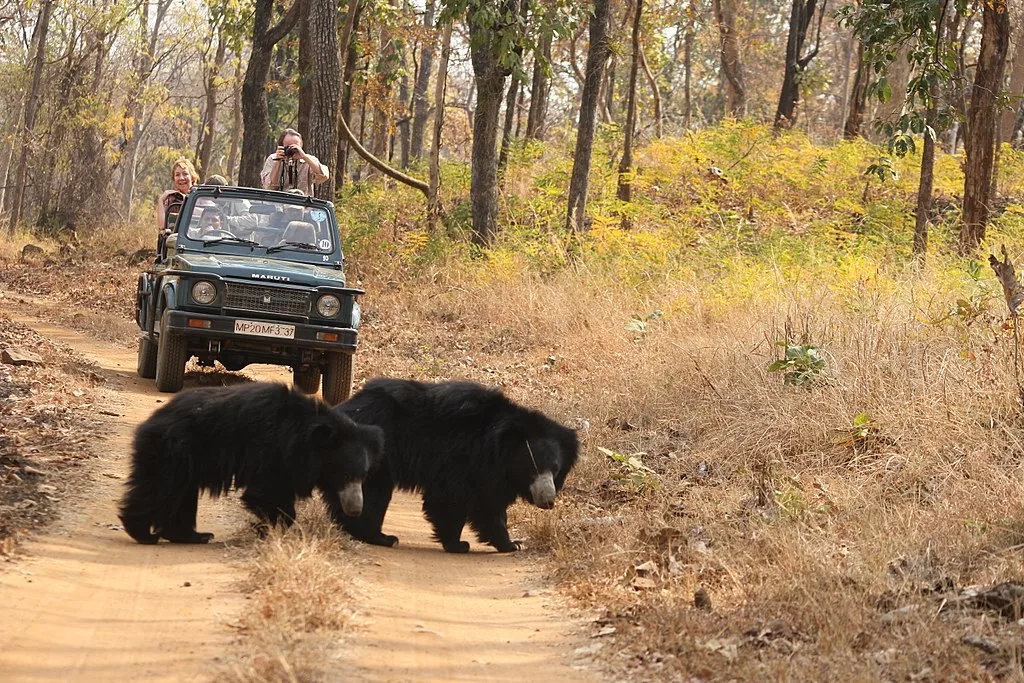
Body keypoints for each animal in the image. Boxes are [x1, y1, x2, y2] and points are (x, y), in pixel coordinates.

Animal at [117, 382, 387, 548]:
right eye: (345, 475)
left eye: (363, 476)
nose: (356, 509)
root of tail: (151, 421)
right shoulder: (273, 451)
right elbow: (266, 492)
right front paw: (265, 526)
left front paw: (265, 527)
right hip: (173, 450)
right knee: (159, 487)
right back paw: (143, 532)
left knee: (182, 495)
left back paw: (192, 535)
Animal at [335, 378, 577, 557]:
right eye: (533, 468)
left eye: (555, 469)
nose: (548, 501)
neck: (497, 447)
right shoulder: (462, 458)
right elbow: (453, 499)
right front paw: (460, 545)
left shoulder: (490, 472)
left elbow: (488, 504)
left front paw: (510, 543)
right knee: (374, 495)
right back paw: (381, 537)